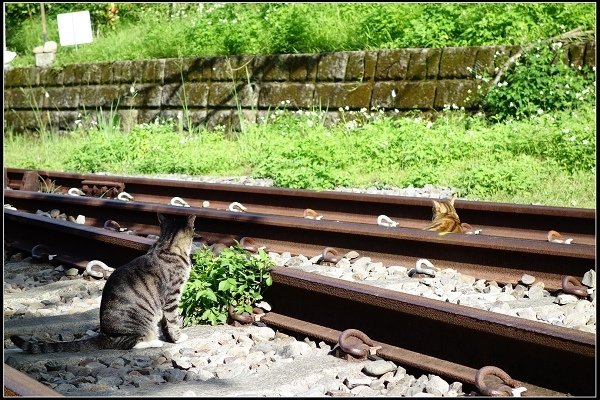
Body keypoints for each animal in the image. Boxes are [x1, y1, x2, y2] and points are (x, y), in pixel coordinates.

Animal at [10, 212, 196, 354]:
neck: (167, 244)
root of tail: (104, 334)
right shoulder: (172, 296)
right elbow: (173, 320)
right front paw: (178, 338)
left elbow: (166, 323)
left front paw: (169, 337)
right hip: (139, 324)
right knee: (126, 344)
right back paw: (153, 342)